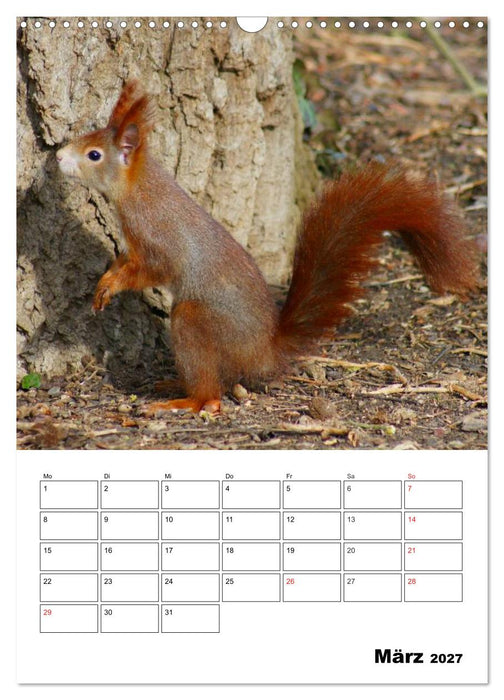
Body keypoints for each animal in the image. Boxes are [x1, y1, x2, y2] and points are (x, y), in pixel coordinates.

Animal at [56, 80, 479, 415]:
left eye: (94, 154)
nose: (58, 155)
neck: (138, 189)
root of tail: (265, 352)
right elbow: (124, 261)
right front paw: (105, 280)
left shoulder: (159, 239)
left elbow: (152, 269)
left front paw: (113, 285)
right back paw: (174, 385)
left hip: (197, 322)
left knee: (212, 393)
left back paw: (187, 401)